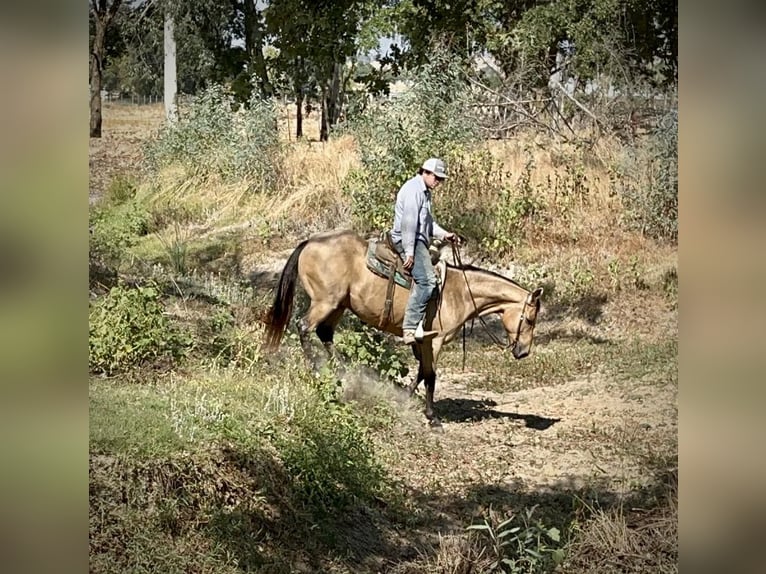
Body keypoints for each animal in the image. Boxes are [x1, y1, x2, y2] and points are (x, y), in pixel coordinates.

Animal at [264, 230, 544, 428]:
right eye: (530, 320)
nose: (523, 352)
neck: (459, 292)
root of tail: (310, 242)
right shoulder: (434, 340)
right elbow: (430, 375)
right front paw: (432, 417)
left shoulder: (421, 342)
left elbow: (421, 372)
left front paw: (405, 398)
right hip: (325, 302)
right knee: (304, 327)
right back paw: (317, 370)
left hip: (339, 305)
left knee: (325, 334)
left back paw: (345, 374)